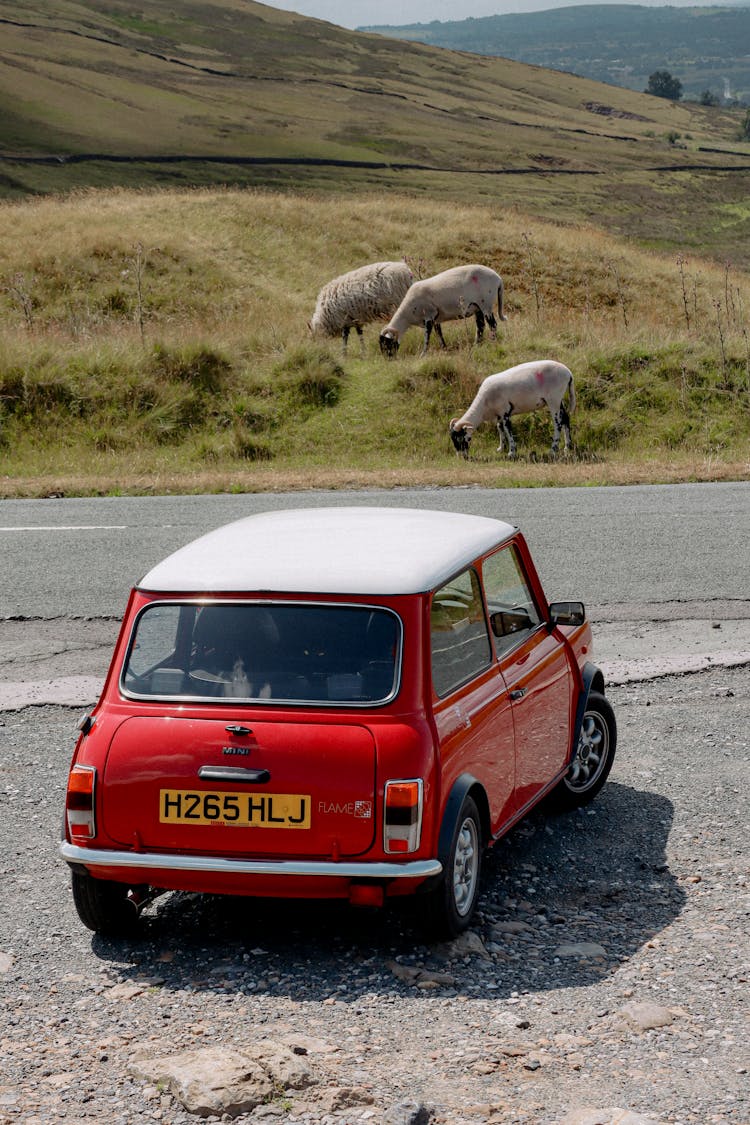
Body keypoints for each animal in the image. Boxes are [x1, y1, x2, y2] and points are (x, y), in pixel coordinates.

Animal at [377, 263, 508, 355]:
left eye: (387, 345)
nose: (389, 359)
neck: (407, 314)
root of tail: (498, 279)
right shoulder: (436, 318)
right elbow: (439, 334)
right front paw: (444, 348)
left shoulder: (429, 316)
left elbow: (427, 337)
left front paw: (423, 354)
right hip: (477, 308)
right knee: (480, 326)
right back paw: (476, 345)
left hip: (486, 304)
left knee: (492, 324)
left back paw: (493, 342)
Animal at [449, 364, 580, 461]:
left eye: (461, 438)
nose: (462, 457)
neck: (483, 406)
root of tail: (569, 373)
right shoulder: (499, 414)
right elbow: (500, 429)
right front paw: (501, 448)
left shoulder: (505, 411)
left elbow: (508, 431)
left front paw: (511, 452)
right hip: (559, 400)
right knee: (566, 419)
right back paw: (567, 447)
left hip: (553, 398)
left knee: (557, 423)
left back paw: (553, 450)